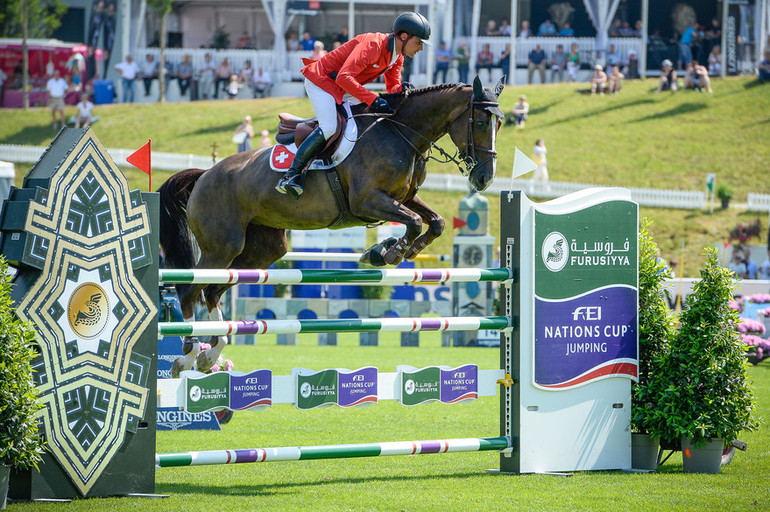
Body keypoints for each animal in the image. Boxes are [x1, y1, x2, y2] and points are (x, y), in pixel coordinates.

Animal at [158, 76, 504, 374]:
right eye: (481, 122)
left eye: (500, 123)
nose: (484, 179)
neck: (400, 132)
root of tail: (204, 174)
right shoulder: (367, 201)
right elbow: (417, 222)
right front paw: (388, 252)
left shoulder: (404, 198)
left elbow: (435, 223)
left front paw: (388, 250)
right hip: (222, 246)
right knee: (189, 290)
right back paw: (188, 354)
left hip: (263, 249)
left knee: (213, 289)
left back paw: (210, 354)